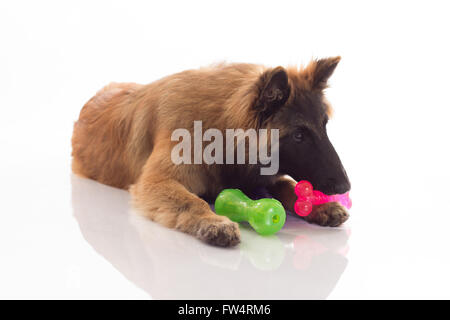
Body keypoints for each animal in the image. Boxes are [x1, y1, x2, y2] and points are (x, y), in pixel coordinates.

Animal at [71, 57, 352, 248]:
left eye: (324, 125)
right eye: (299, 135)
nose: (345, 186)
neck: (219, 128)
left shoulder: (255, 174)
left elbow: (289, 185)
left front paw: (321, 206)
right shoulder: (156, 181)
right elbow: (189, 200)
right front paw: (214, 222)